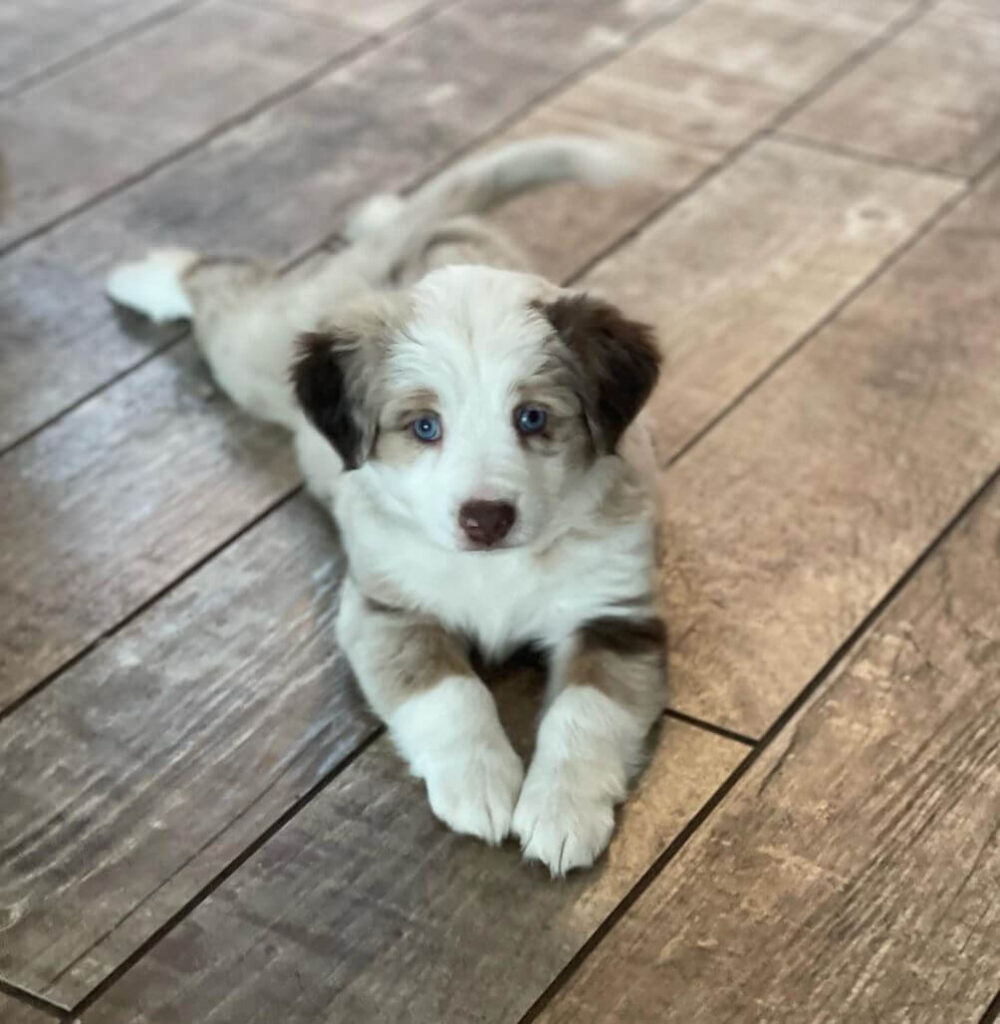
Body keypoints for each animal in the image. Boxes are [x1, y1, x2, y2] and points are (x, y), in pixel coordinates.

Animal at [105, 134, 667, 872]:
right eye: (424, 427)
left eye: (533, 418)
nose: (485, 519)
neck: (498, 568)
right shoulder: (390, 610)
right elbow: (451, 695)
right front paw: (481, 786)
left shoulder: (614, 615)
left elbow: (587, 715)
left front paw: (562, 813)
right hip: (256, 356)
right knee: (220, 284)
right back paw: (145, 274)